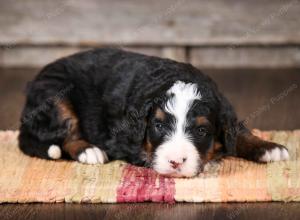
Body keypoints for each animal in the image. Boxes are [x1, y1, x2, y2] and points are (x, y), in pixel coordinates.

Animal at [17, 47, 290, 177]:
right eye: (158, 126)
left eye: (202, 130)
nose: (175, 162)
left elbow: (238, 131)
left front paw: (268, 147)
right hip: (56, 94)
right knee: (68, 133)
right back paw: (89, 151)